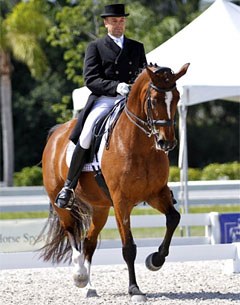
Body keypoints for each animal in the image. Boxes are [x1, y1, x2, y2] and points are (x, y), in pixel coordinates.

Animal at [41, 62, 191, 302]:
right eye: (153, 100)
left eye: (176, 97)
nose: (166, 142)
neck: (140, 146)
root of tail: (57, 133)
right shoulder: (122, 202)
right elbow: (128, 247)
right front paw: (135, 289)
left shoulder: (156, 194)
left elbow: (173, 218)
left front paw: (155, 260)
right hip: (61, 203)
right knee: (72, 232)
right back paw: (79, 275)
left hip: (100, 208)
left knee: (89, 241)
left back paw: (90, 287)